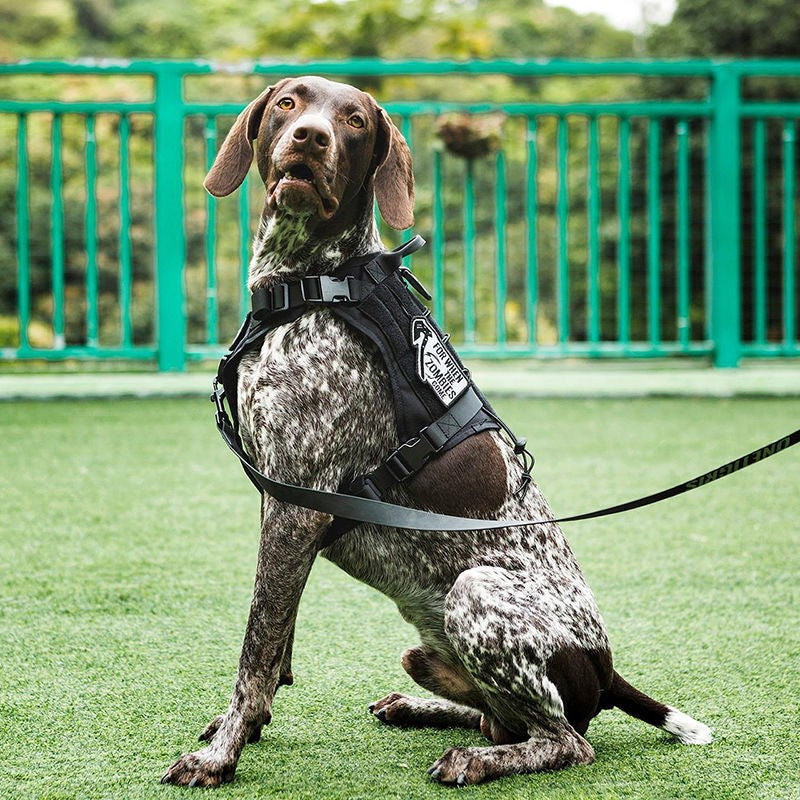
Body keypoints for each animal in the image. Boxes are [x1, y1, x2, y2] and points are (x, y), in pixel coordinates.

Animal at [161, 75, 712, 788]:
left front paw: (220, 755)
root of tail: (607, 667)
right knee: (497, 717)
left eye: (355, 121)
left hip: (474, 594)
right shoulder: (280, 503)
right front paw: (244, 728)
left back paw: (473, 761)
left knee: (562, 740)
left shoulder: (296, 506)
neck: (311, 282)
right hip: (425, 652)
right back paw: (421, 711)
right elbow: (276, 640)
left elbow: (256, 650)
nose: (311, 136)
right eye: (290, 103)